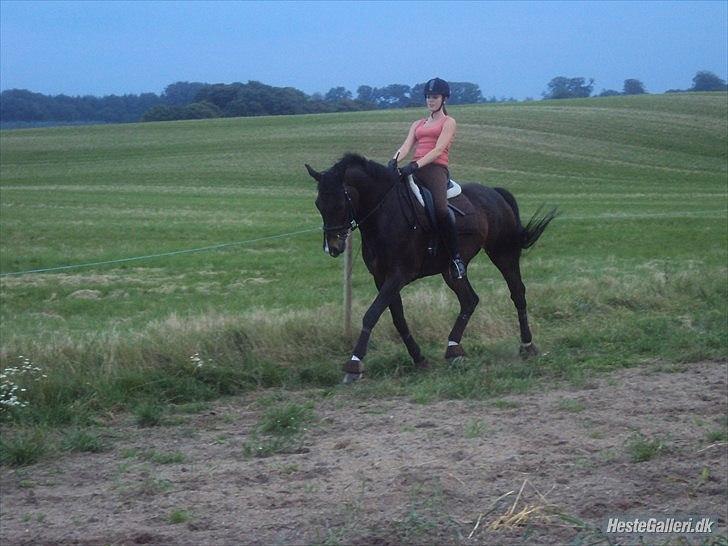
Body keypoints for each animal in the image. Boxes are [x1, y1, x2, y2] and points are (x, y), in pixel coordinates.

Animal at [304, 152, 556, 382]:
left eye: (339, 203)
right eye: (318, 204)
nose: (332, 247)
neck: (385, 214)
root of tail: (495, 193)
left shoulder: (398, 275)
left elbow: (371, 315)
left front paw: (354, 364)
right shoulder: (382, 278)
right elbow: (398, 318)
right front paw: (419, 358)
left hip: (503, 253)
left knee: (517, 292)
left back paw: (527, 345)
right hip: (451, 271)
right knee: (470, 300)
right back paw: (454, 350)